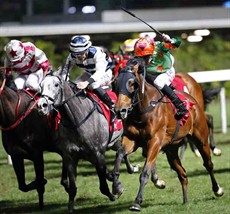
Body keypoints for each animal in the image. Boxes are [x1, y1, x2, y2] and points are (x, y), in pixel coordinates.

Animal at [111, 68, 223, 211]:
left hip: (201, 139)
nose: (120, 110)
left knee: (208, 164)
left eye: (132, 84)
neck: (143, 110)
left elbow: (145, 173)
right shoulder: (131, 140)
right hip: (171, 151)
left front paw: (137, 202)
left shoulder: (154, 142)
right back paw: (185, 201)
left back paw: (217, 189)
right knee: (182, 173)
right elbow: (120, 154)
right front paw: (116, 187)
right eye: (115, 83)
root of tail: (192, 101)